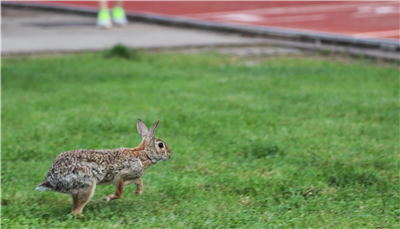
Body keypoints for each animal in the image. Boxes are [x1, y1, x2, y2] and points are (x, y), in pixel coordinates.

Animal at [35, 119, 170, 217]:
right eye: (161, 145)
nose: (170, 154)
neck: (144, 154)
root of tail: (51, 180)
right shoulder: (120, 176)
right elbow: (119, 193)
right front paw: (107, 198)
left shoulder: (131, 177)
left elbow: (139, 181)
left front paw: (138, 192)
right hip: (88, 184)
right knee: (75, 212)